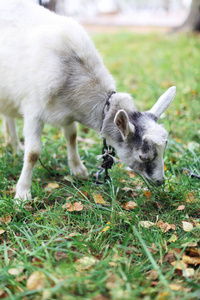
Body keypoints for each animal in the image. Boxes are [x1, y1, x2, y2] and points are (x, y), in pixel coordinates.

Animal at [0, 0, 175, 202]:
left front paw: (78, 170)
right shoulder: (34, 111)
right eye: (143, 157)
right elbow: (33, 153)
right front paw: (22, 194)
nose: (160, 182)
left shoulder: (67, 113)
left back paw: (15, 146)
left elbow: (72, 137)